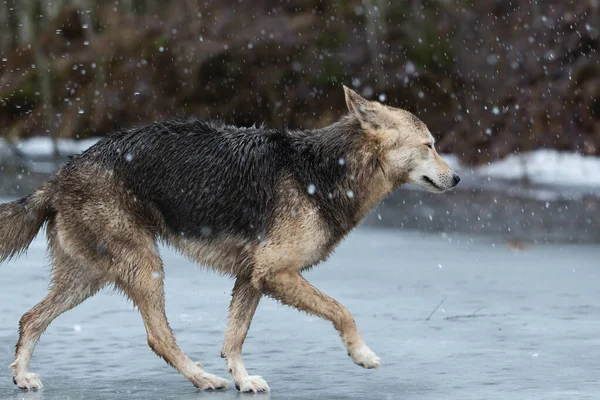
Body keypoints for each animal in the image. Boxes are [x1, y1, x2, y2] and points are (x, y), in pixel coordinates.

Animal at [1, 86, 460, 392]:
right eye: (430, 146)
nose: (456, 178)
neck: (325, 174)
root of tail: (60, 175)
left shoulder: (252, 277)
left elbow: (233, 339)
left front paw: (244, 380)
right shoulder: (276, 272)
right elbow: (342, 311)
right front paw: (361, 354)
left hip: (88, 279)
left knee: (29, 318)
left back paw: (21, 377)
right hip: (146, 268)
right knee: (158, 338)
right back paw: (202, 378)